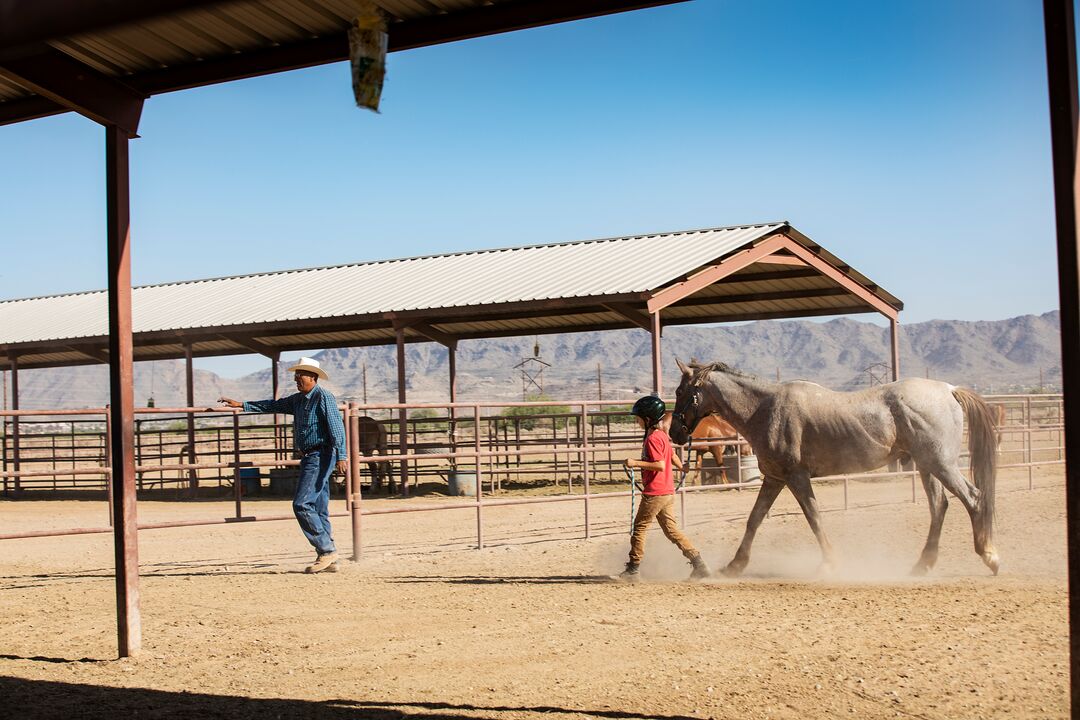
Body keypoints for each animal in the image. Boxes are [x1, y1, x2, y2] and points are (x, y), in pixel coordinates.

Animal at [669, 360, 997, 578]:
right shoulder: (774, 478)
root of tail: (949, 390)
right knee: (939, 506)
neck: (765, 409)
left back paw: (989, 556)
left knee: (973, 498)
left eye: (680, 391)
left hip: (941, 464)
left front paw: (828, 564)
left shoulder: (796, 477)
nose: (674, 433)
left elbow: (814, 518)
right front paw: (735, 565)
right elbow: (754, 519)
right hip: (928, 466)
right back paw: (922, 565)